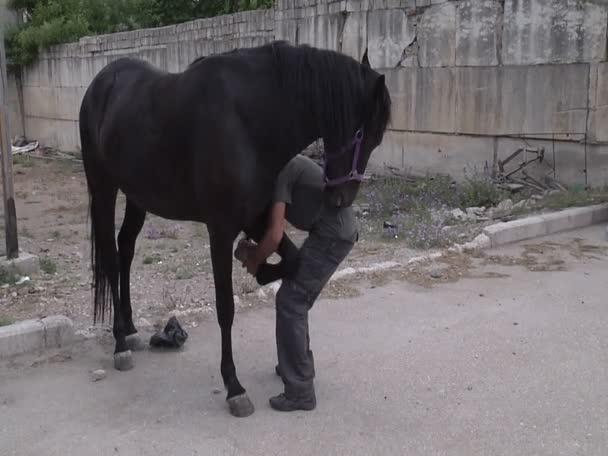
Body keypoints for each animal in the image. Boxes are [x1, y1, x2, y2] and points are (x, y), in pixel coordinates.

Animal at [78, 40, 392, 416]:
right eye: (367, 134)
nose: (341, 198)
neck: (248, 120)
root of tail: (100, 83)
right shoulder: (220, 229)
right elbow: (226, 307)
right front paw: (234, 387)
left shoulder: (255, 216)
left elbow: (294, 260)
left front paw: (261, 268)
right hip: (104, 188)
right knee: (112, 259)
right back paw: (119, 344)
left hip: (138, 194)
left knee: (125, 249)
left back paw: (130, 329)